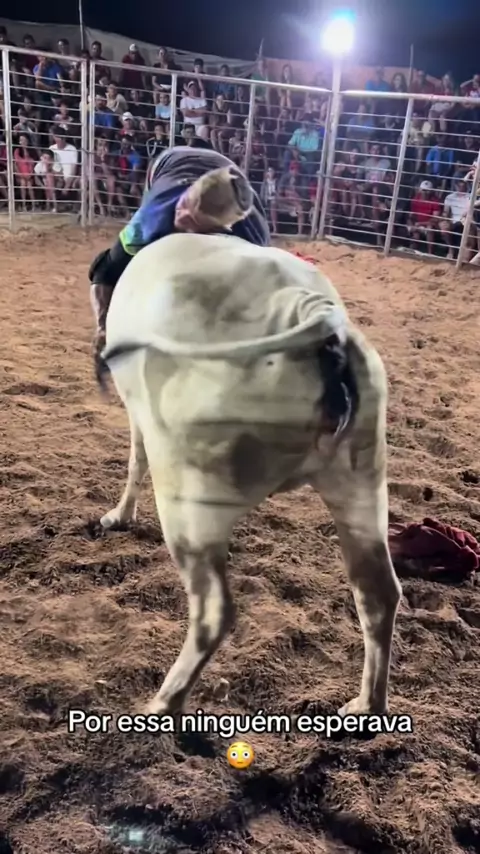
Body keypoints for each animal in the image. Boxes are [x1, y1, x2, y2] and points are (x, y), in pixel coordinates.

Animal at [97, 232, 402, 718]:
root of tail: (311, 311)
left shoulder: (139, 417)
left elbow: (135, 459)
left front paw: (118, 516)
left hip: (188, 497)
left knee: (213, 612)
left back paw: (163, 704)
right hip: (361, 485)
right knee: (378, 593)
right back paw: (364, 706)